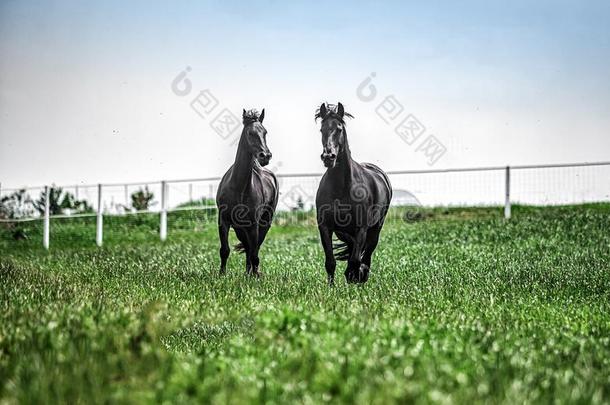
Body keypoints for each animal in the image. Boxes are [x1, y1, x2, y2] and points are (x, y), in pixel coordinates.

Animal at [216, 109, 278, 276]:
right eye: (250, 133)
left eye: (265, 132)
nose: (265, 156)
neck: (239, 187)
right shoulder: (223, 220)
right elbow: (224, 250)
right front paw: (222, 274)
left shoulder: (254, 224)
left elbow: (254, 253)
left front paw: (255, 276)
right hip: (240, 227)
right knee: (248, 247)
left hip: (265, 222)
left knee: (253, 249)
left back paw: (251, 273)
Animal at [312, 102, 392, 282]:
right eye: (321, 129)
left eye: (339, 128)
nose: (328, 156)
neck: (341, 187)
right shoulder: (325, 227)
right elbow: (330, 262)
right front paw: (332, 286)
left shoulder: (361, 228)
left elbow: (355, 261)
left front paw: (354, 279)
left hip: (375, 228)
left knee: (366, 258)